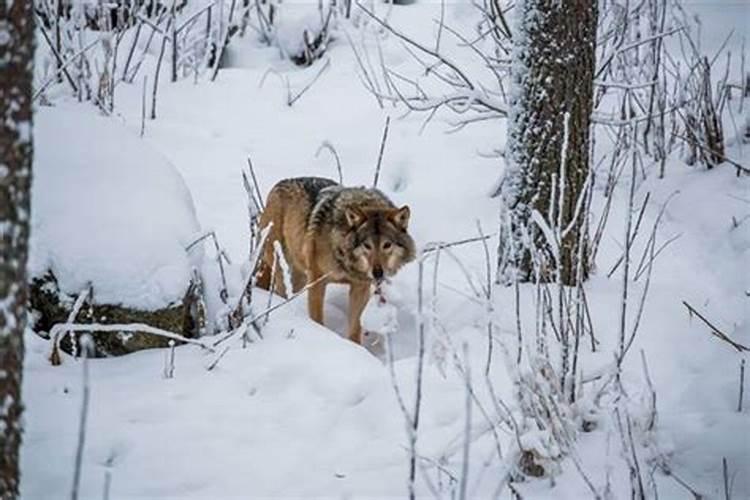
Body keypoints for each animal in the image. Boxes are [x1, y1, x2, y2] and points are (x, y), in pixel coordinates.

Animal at [258, 176, 418, 344]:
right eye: (367, 245)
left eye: (386, 245)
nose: (378, 273)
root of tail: (277, 186)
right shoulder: (317, 280)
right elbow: (317, 318)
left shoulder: (360, 287)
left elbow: (355, 327)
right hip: (281, 267)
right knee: (280, 291)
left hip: (299, 276)